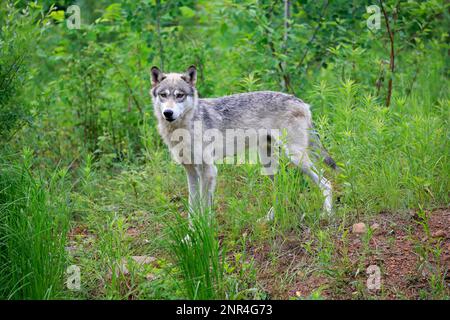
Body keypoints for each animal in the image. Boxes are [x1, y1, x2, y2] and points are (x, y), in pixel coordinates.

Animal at [149, 65, 336, 220]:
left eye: (179, 95)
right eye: (163, 95)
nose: (168, 113)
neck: (184, 128)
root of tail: (302, 102)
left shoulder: (209, 171)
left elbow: (204, 209)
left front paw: (205, 232)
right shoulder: (191, 172)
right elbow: (192, 210)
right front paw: (190, 237)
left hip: (295, 157)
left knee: (326, 183)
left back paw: (327, 214)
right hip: (269, 164)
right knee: (283, 189)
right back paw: (269, 219)